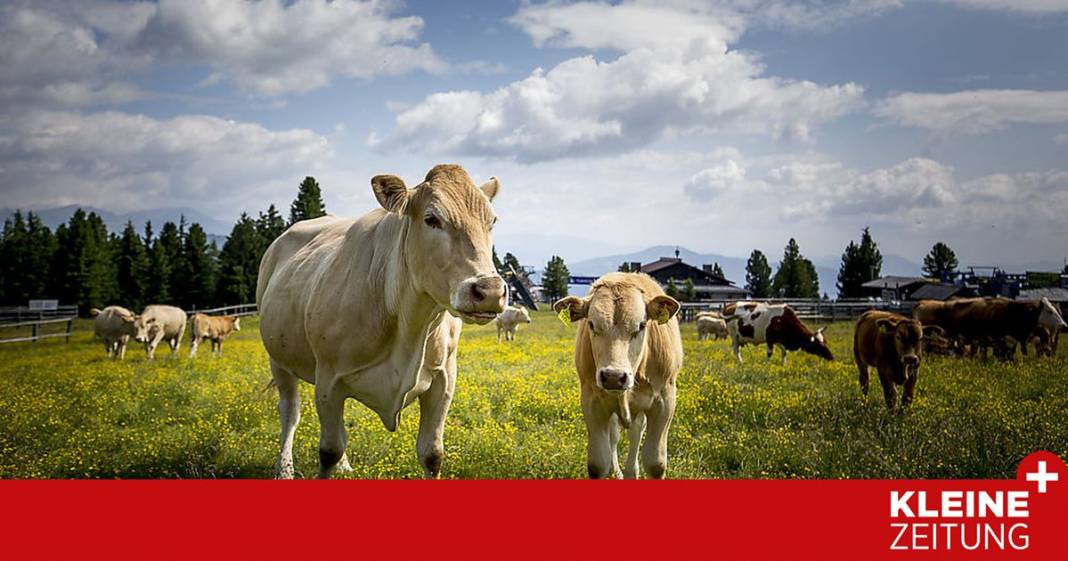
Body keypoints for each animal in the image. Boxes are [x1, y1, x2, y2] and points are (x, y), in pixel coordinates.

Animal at [257, 164, 506, 479]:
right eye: (431, 219)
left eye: (492, 221)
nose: (490, 291)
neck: (410, 326)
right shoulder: (328, 380)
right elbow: (327, 451)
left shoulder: (445, 378)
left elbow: (432, 454)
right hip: (278, 359)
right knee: (290, 412)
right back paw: (284, 468)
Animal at [554, 272, 683, 480]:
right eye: (591, 324)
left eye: (641, 325)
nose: (613, 376)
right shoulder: (592, 401)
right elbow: (598, 463)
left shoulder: (665, 401)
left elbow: (655, 464)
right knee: (614, 437)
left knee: (635, 434)